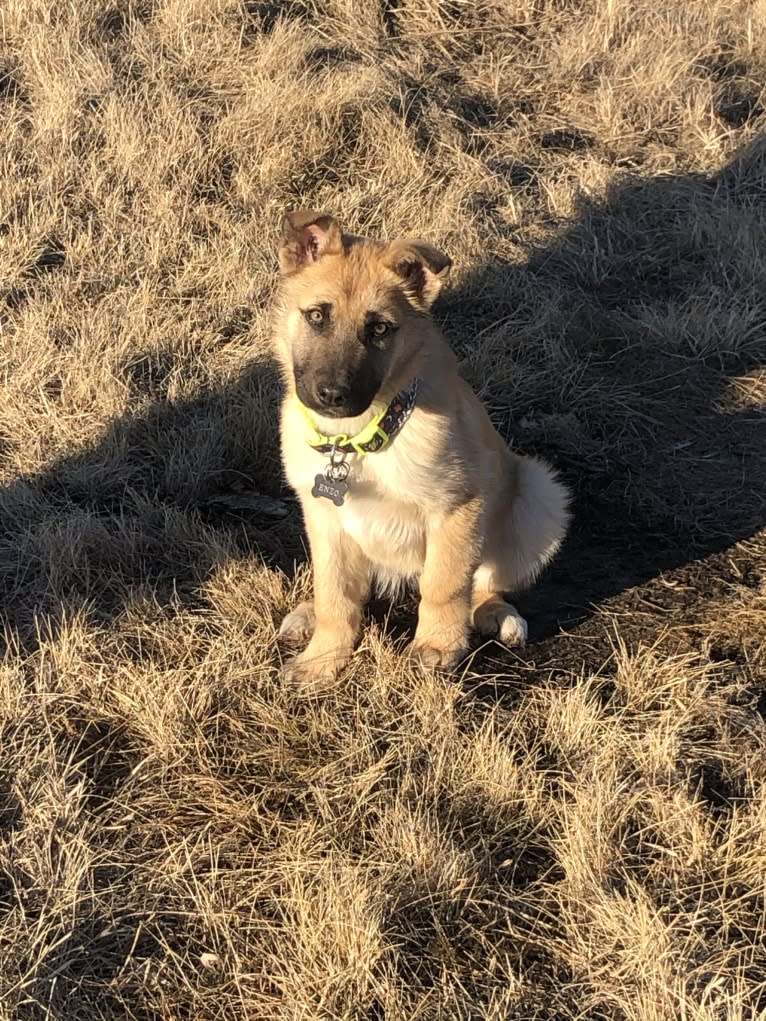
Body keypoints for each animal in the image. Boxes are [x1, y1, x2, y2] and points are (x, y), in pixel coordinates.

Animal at [271, 209, 571, 694]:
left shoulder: (459, 507)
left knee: (484, 582)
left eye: (379, 329)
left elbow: (444, 584)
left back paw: (496, 613)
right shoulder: (323, 517)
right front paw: (323, 659)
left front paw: (437, 646)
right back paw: (307, 614)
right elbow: (336, 594)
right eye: (316, 316)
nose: (332, 396)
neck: (356, 440)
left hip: (539, 494)